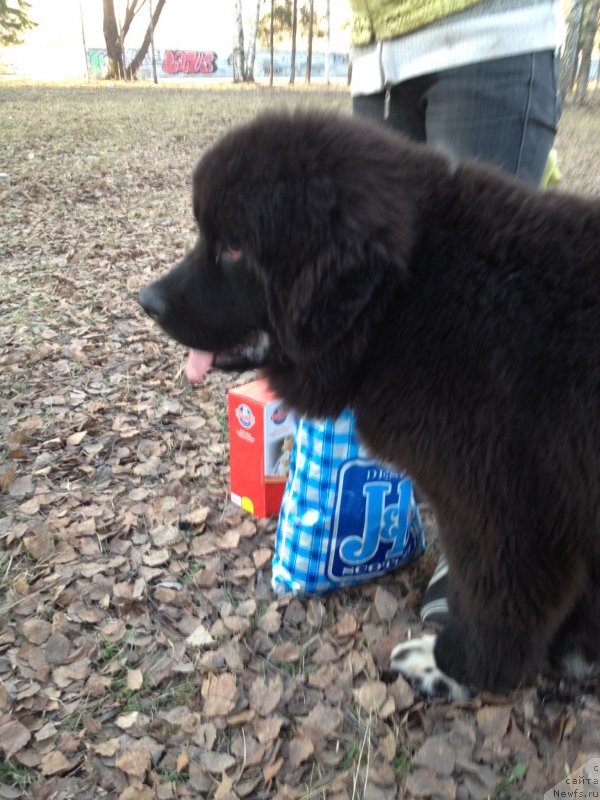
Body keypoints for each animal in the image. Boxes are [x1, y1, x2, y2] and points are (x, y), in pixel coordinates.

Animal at [139, 109, 600, 696]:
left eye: (235, 248)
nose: (146, 301)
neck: (403, 299)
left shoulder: (503, 515)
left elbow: (495, 608)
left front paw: (453, 668)